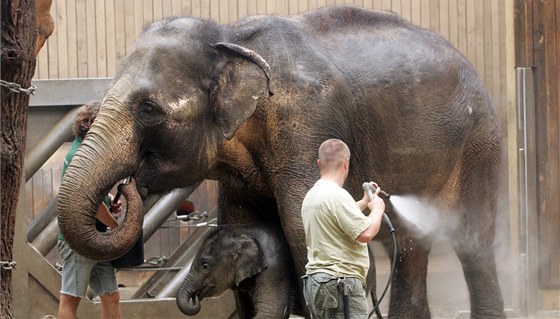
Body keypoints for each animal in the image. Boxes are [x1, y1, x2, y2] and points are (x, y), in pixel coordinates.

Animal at [57, 5, 504, 319]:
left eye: (148, 109)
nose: (123, 189)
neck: (229, 36)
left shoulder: (308, 124)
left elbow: (300, 228)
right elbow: (241, 223)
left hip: (481, 142)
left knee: (474, 240)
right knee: (410, 246)